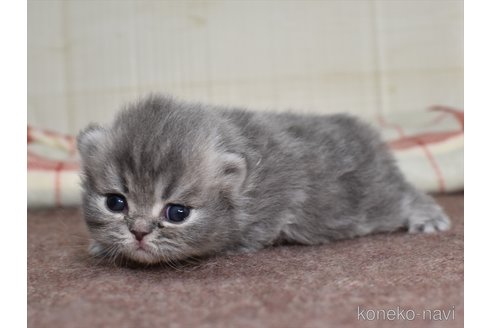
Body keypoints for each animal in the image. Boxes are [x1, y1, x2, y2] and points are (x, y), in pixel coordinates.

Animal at [79, 94, 452, 264]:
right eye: (116, 202)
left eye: (177, 213)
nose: (139, 232)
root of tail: (371, 137)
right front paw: (104, 244)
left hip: (375, 201)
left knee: (407, 195)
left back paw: (427, 217)